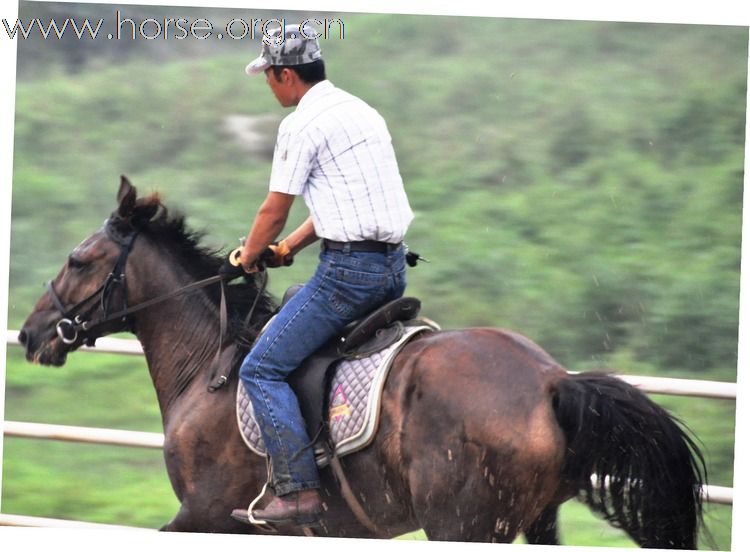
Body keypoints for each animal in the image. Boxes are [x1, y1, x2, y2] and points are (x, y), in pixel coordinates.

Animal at [19, 178, 712, 548]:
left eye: (79, 260)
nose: (31, 334)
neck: (209, 364)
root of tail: (552, 382)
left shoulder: (206, 516)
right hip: (534, 522)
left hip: (462, 525)